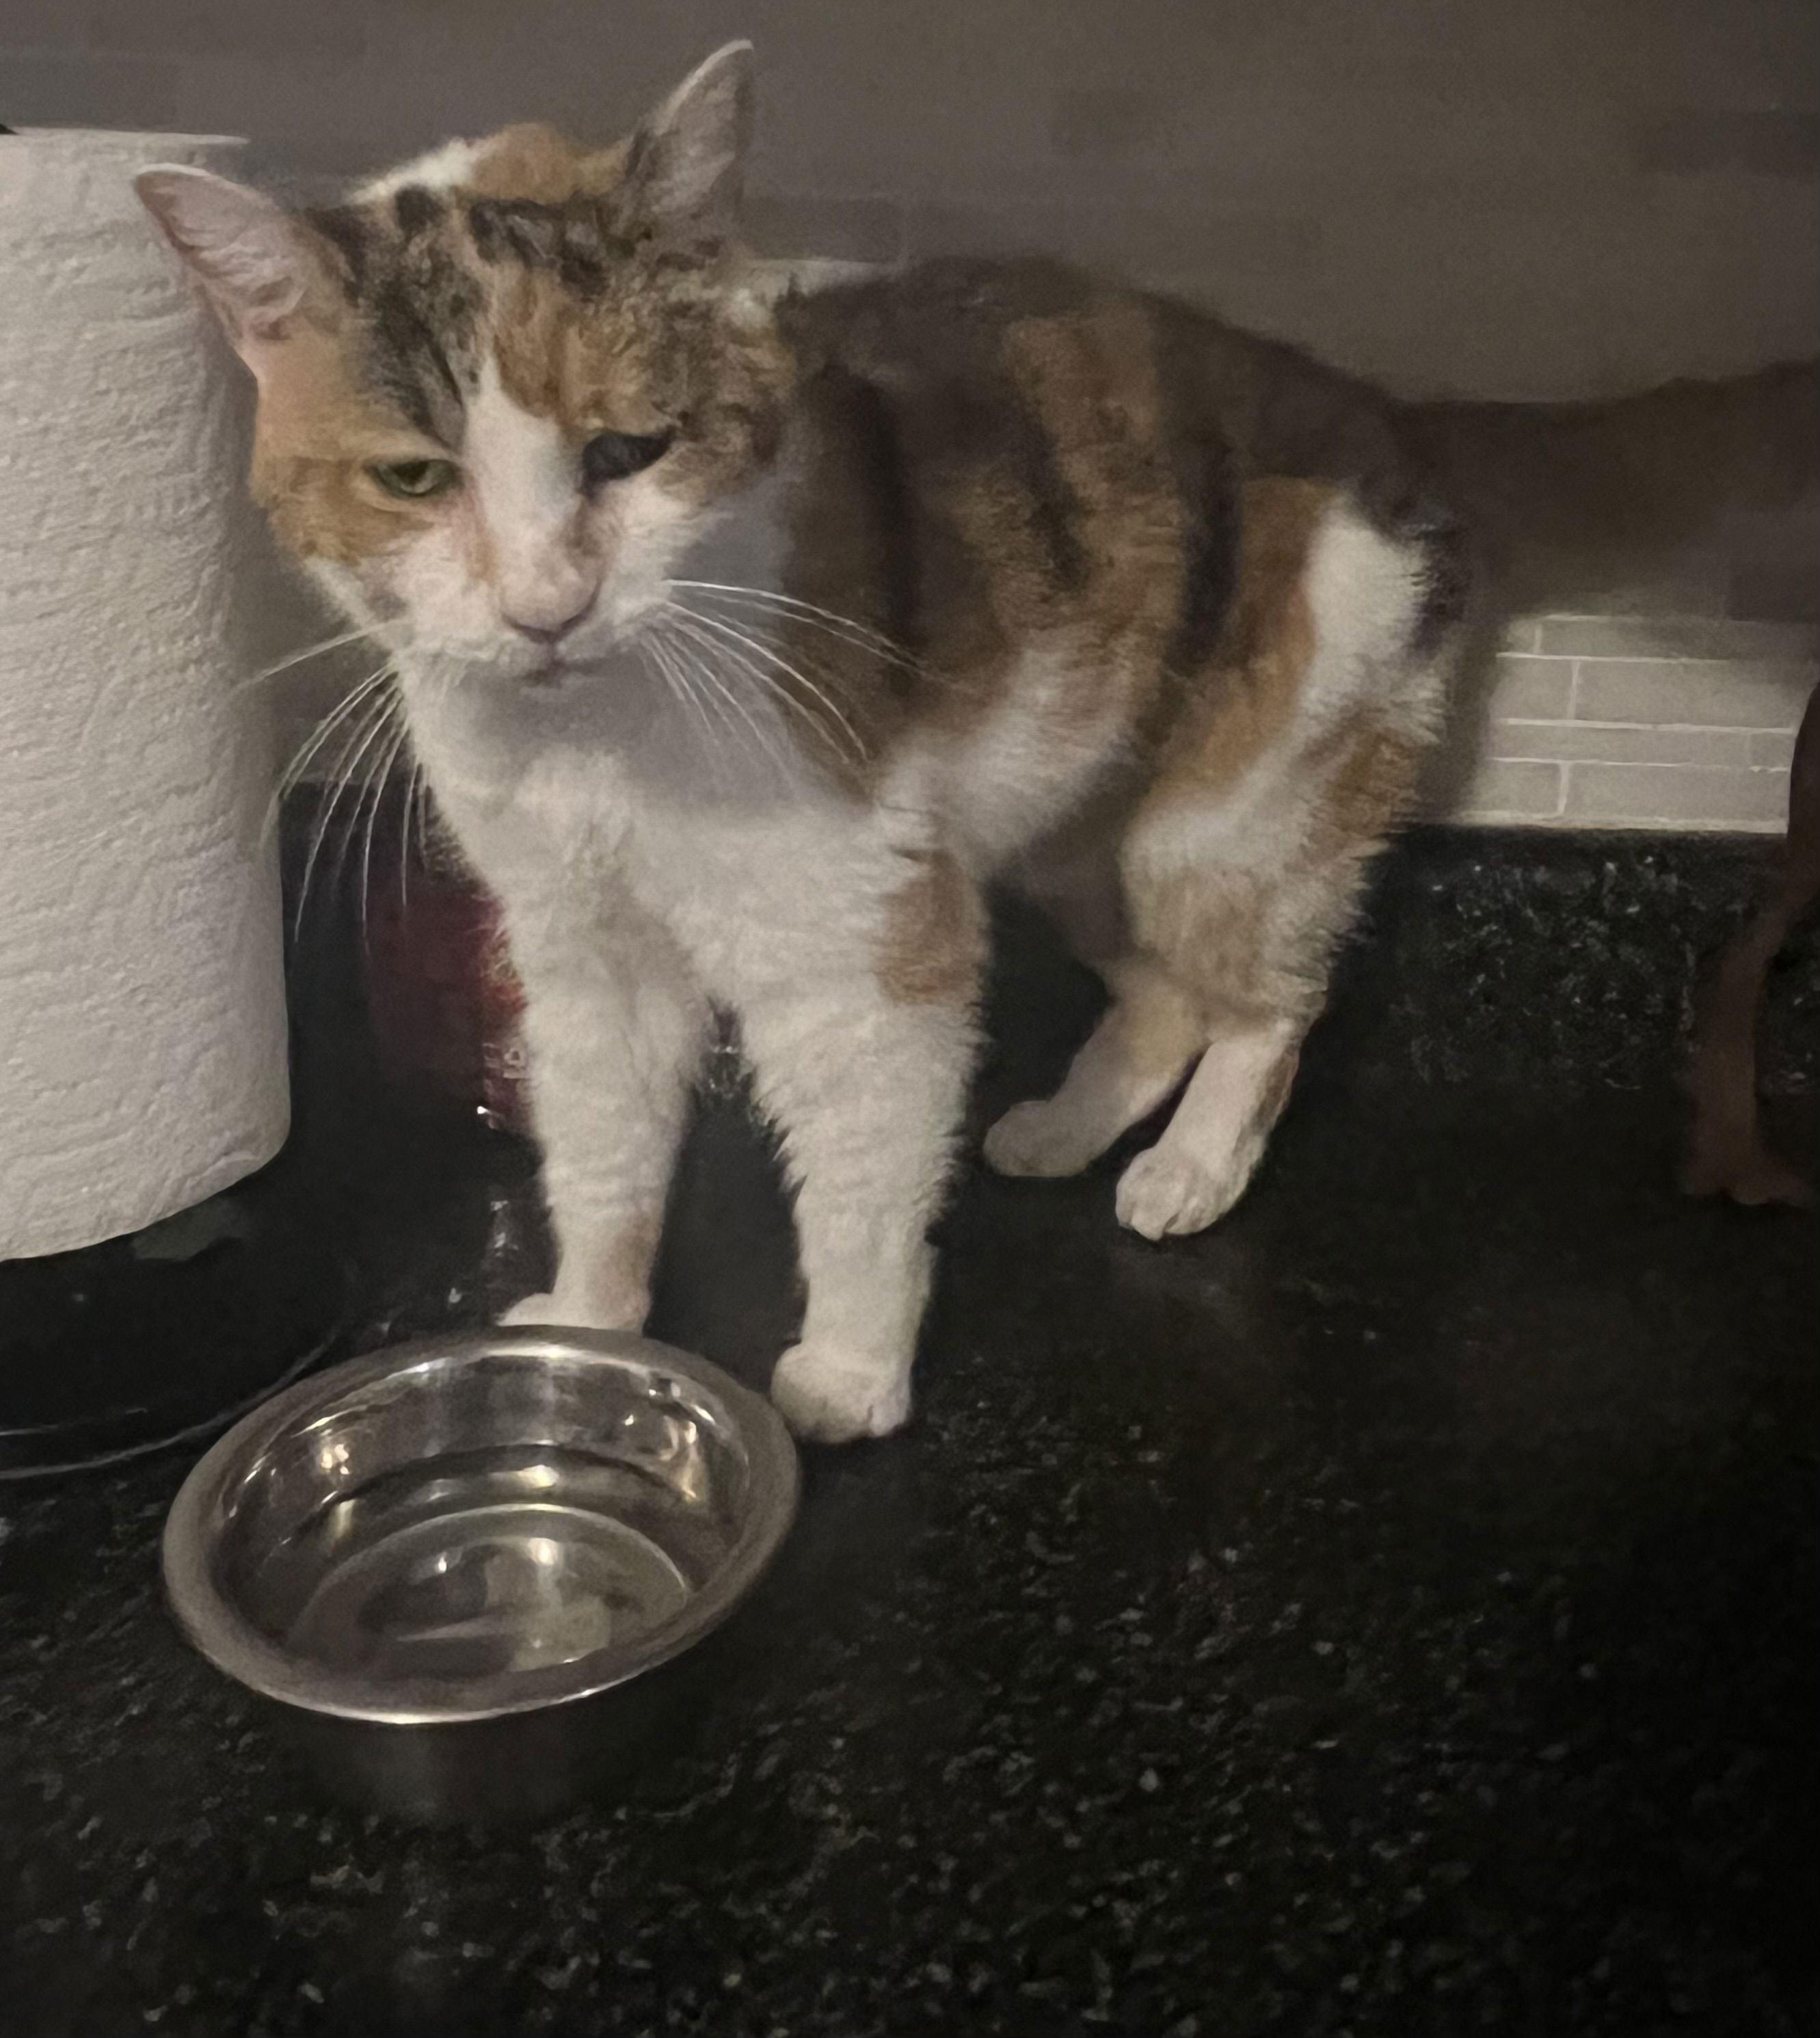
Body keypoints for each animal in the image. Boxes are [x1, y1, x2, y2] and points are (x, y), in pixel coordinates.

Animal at [131, 40, 1818, 1443]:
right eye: (415, 477)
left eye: (627, 449)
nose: (548, 605)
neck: (601, 730)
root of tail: (1381, 409)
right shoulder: (582, 949)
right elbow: (601, 1153)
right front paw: (590, 1324)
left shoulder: (864, 947)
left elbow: (862, 1174)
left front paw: (850, 1370)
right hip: (1069, 836)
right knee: (1162, 994)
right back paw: (1064, 1127)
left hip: (1225, 817)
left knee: (1267, 996)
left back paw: (1190, 1168)